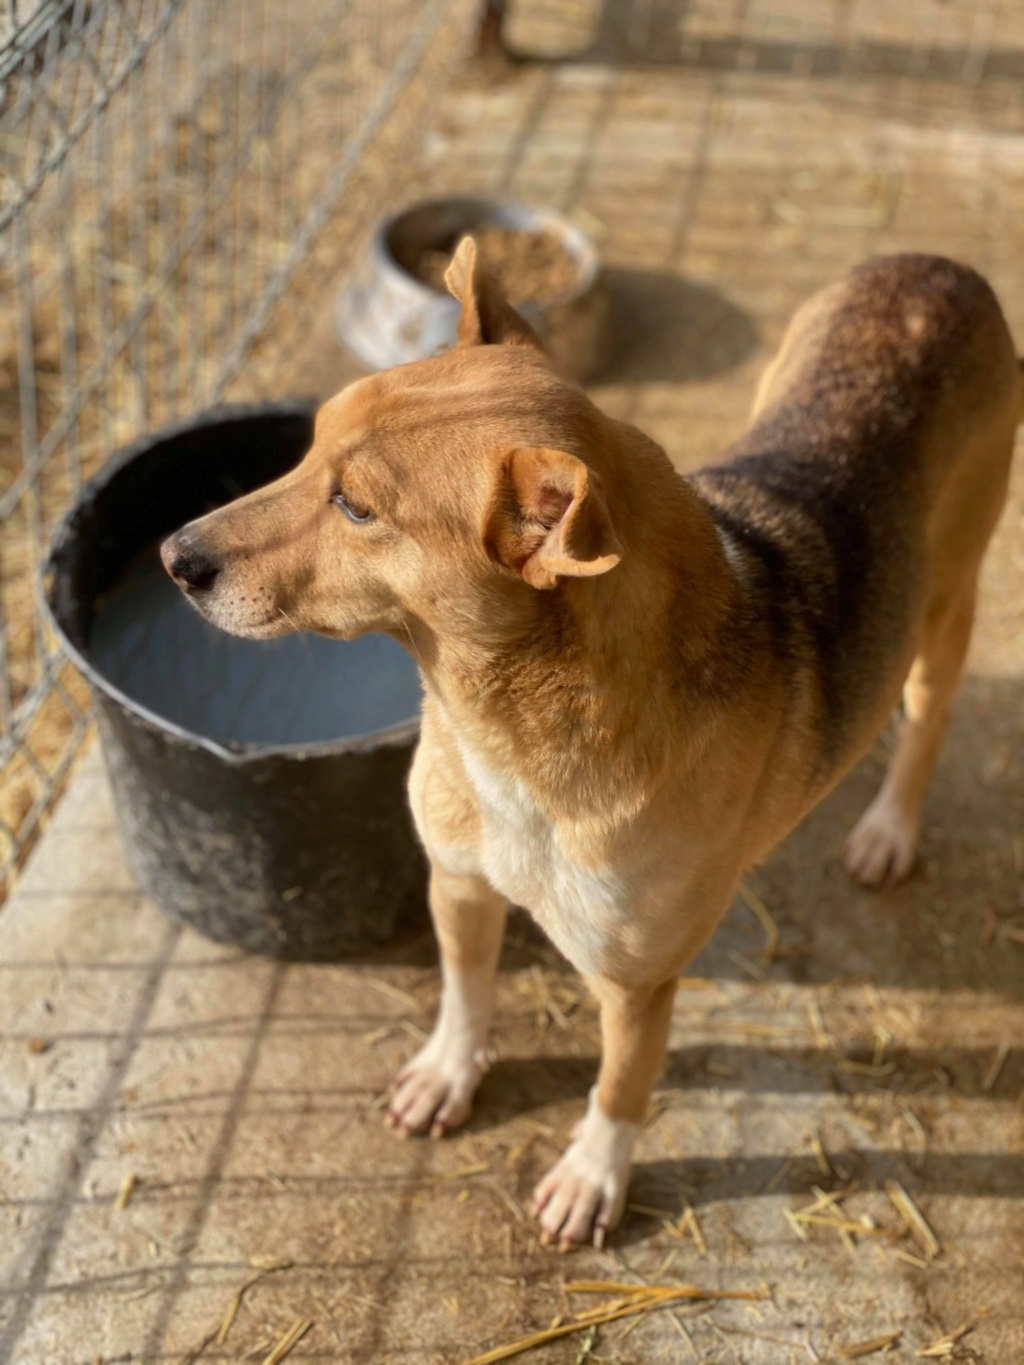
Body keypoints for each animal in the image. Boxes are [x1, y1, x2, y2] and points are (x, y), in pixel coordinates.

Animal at [160, 242, 1021, 1250]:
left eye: (357, 508)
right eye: (309, 447)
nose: (175, 557)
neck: (510, 734)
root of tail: (939, 265)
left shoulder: (635, 982)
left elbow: (619, 1087)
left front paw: (590, 1178)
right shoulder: (456, 880)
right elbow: (465, 992)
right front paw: (448, 1074)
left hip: (947, 606)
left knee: (926, 722)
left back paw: (888, 830)